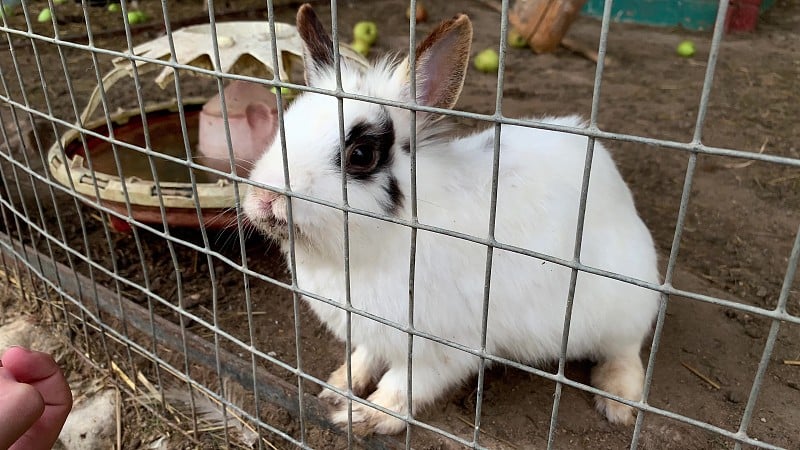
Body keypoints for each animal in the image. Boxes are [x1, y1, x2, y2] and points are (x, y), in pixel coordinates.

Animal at [244, 3, 656, 436]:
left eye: (361, 155)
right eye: (285, 125)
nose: (265, 197)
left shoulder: (440, 347)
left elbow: (404, 384)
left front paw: (365, 416)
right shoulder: (373, 333)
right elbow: (364, 358)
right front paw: (337, 387)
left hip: (620, 310)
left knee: (627, 351)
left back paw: (619, 402)